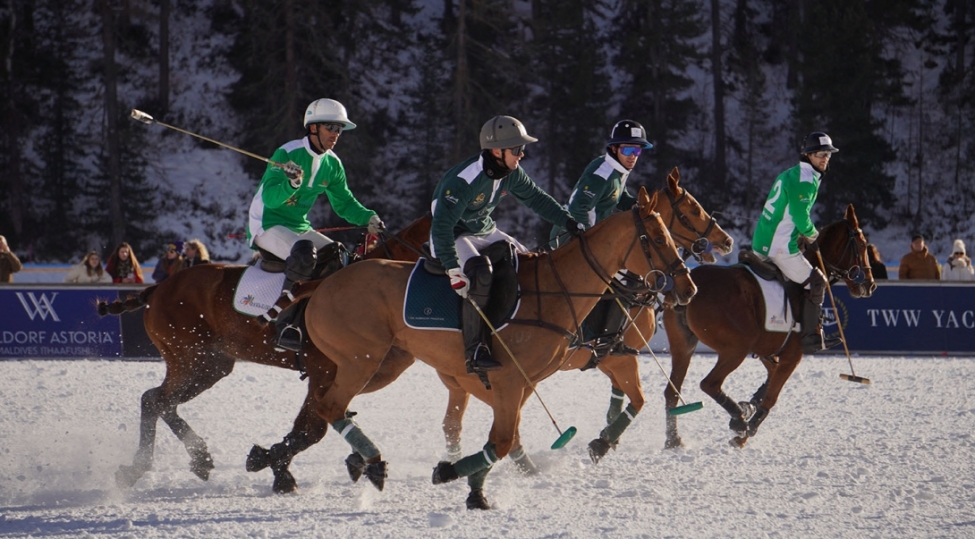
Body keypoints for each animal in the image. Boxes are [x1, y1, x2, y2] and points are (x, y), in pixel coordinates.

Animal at [101, 215, 432, 494]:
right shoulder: (323, 373)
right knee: (155, 400)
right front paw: (274, 467)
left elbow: (318, 422)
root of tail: (157, 289)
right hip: (189, 358)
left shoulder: (353, 376)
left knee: (160, 401)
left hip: (212, 365)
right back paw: (153, 465)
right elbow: (312, 429)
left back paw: (192, 459)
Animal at [302, 187, 696, 510]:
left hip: (380, 364)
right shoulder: (517, 379)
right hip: (363, 360)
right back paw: (370, 462)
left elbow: (504, 437)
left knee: (331, 406)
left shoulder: (523, 381)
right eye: (657, 237)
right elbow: (504, 439)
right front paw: (457, 478)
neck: (558, 289)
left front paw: (469, 485)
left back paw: (357, 461)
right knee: (328, 405)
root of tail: (321, 286)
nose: (688, 289)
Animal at [434, 167, 732, 466]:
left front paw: (610, 440)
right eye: (693, 209)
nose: (727, 241)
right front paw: (602, 443)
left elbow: (621, 400)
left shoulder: (611, 357)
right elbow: (635, 400)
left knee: (458, 419)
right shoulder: (617, 356)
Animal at [664, 202, 876, 448]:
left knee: (671, 391)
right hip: (736, 348)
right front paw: (745, 433)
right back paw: (739, 421)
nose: (870, 285)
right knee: (709, 384)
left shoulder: (767, 349)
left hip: (684, 345)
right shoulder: (792, 355)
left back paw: (673, 440)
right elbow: (772, 397)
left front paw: (749, 405)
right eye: (863, 244)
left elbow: (769, 380)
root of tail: (690, 288)